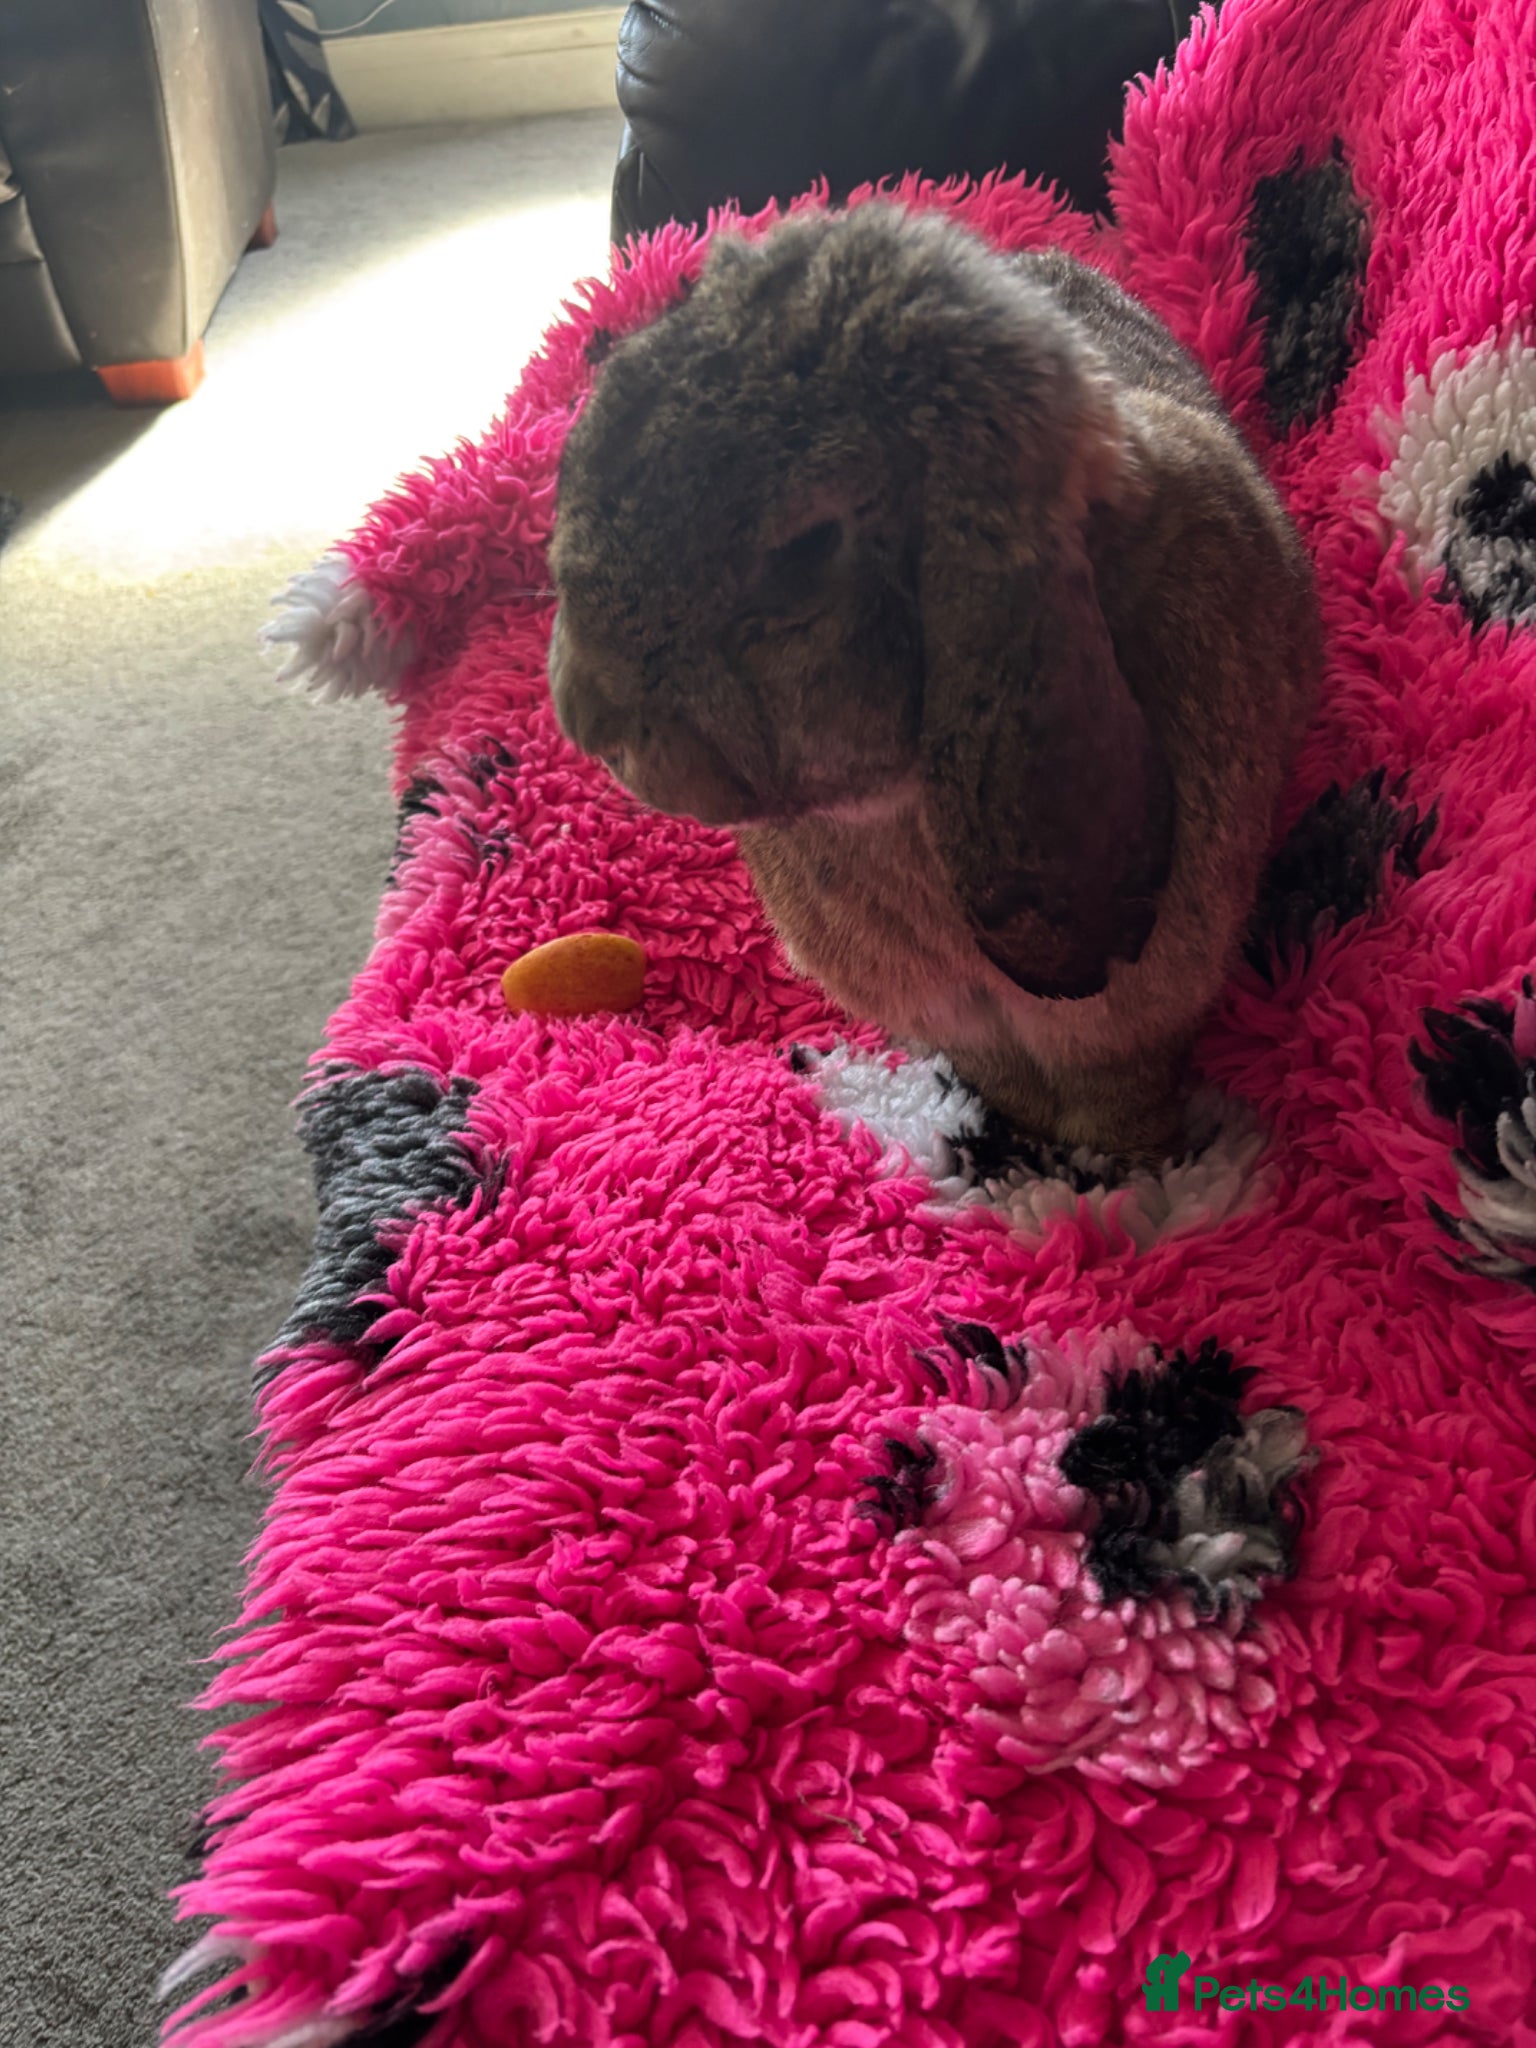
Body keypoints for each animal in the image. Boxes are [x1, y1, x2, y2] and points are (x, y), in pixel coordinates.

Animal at [548, 203, 1322, 1163]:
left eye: (806, 550)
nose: (589, 718)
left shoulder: (1140, 1020)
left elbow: (1121, 1090)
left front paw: (1127, 1159)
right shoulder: (967, 1027)